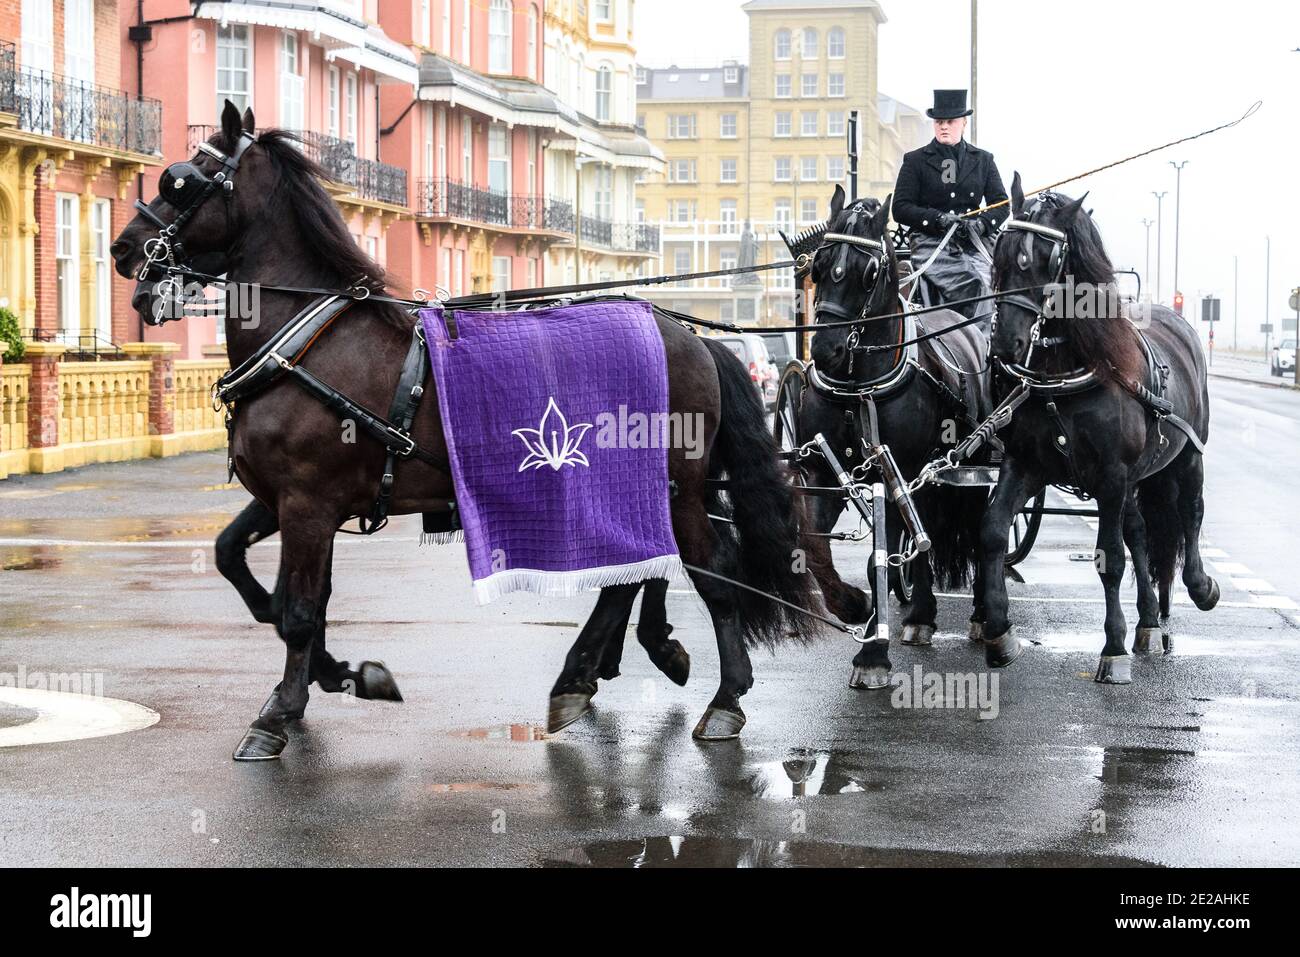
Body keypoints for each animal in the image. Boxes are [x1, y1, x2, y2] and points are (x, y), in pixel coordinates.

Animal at [114, 98, 821, 754]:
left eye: (182, 179)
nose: (124, 248)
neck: (307, 341)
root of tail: (690, 335)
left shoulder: (308, 503)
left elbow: (297, 611)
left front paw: (281, 712)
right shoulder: (289, 500)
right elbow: (241, 565)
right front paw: (340, 673)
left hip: (677, 489)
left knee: (712, 573)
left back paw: (722, 698)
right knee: (635, 573)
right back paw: (587, 674)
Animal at [785, 188, 987, 686]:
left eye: (870, 272)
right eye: (818, 265)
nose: (825, 350)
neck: (859, 386)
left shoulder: (896, 472)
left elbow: (886, 544)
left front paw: (873, 652)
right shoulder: (821, 470)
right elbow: (813, 546)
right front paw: (854, 605)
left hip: (969, 468)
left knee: (979, 530)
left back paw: (978, 614)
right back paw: (920, 614)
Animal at [982, 174, 1216, 681]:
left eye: (1047, 260)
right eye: (1001, 252)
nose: (1005, 344)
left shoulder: (1111, 475)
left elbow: (1109, 557)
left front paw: (1112, 647)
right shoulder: (1026, 463)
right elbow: (993, 528)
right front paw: (998, 631)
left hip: (1187, 456)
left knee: (1189, 514)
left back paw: (1200, 587)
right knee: (1141, 533)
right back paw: (1148, 620)